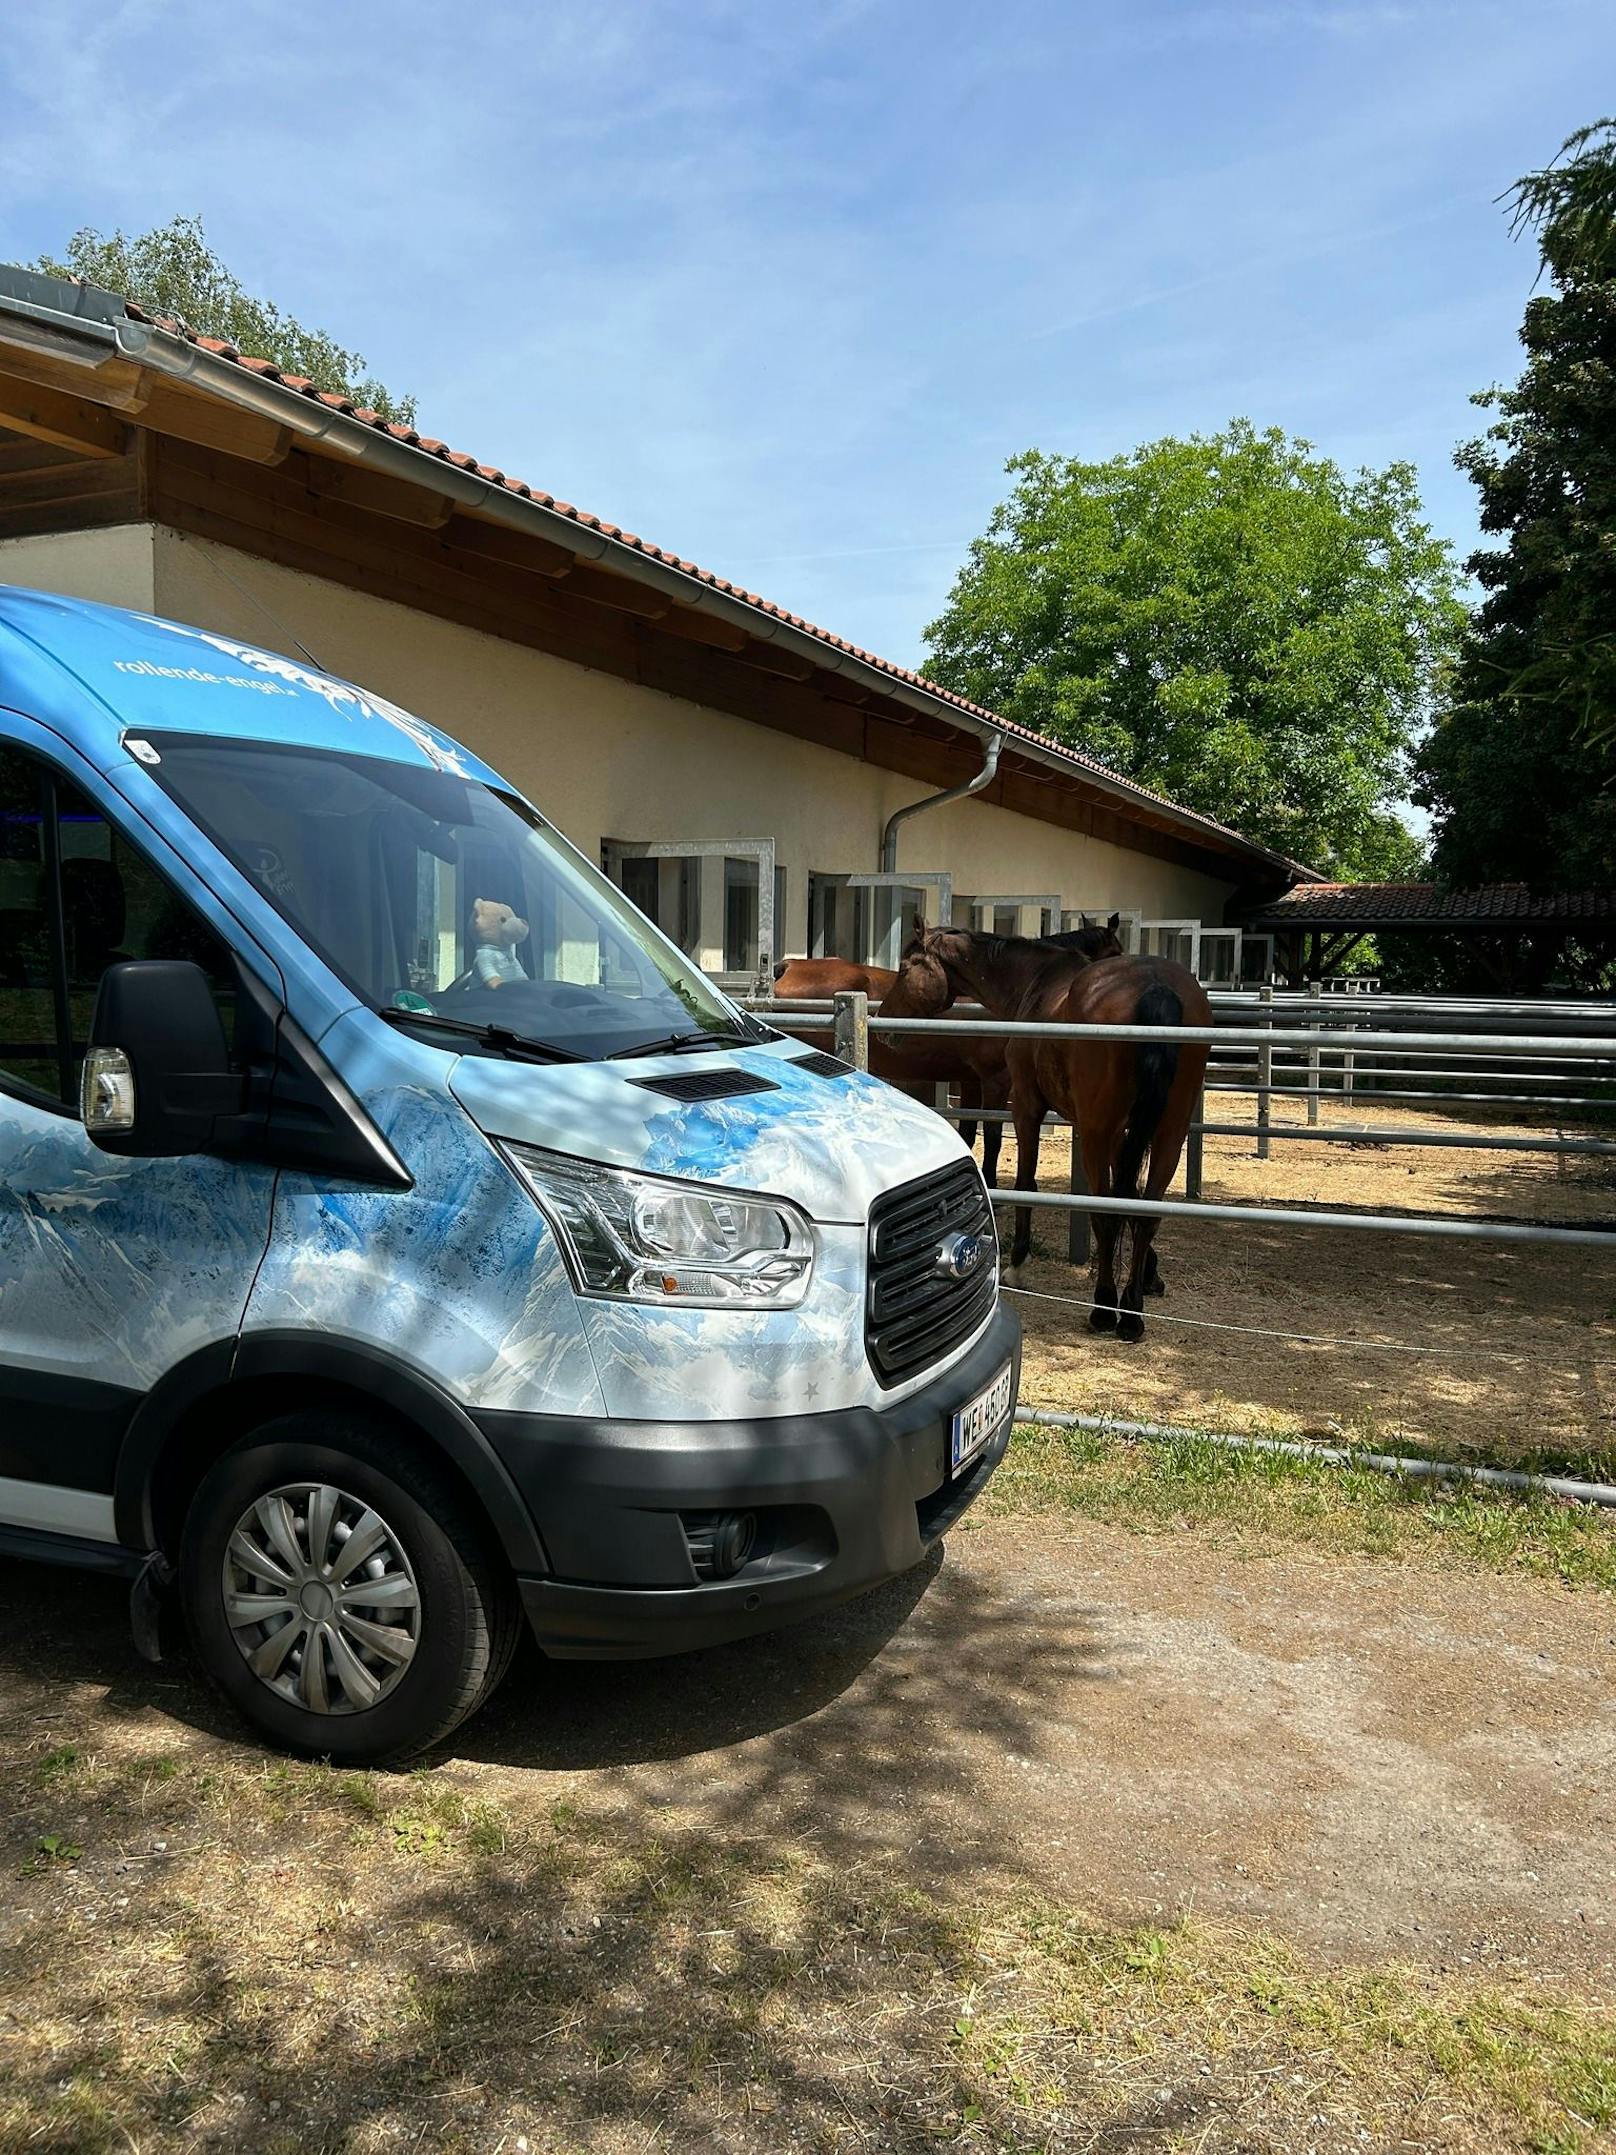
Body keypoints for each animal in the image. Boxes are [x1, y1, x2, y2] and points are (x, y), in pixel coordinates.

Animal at [900, 922, 1215, 1336]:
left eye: (905, 968)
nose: (890, 1017)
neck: (1035, 981)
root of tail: (1155, 986)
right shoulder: (1121, 1137)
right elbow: (1130, 1195)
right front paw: (1150, 1274)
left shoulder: (1028, 1108)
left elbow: (1027, 1183)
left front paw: (1018, 1262)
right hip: (1168, 1134)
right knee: (1146, 1211)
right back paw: (1132, 1314)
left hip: (1100, 1133)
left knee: (1105, 1210)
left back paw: (1104, 1308)